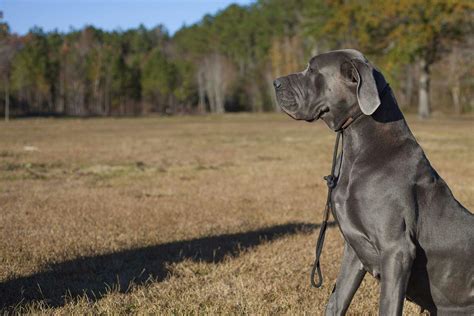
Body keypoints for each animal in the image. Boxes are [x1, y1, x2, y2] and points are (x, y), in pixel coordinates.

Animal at [272, 48, 472, 314]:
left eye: (312, 69)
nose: (275, 82)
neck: (357, 147)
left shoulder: (396, 250)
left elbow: (387, 306)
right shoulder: (354, 248)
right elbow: (337, 300)